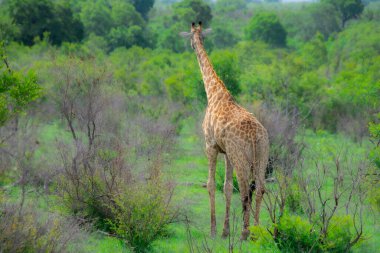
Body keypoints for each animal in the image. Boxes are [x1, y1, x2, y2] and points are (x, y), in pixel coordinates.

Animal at [181, 21, 270, 239]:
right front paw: (225, 231)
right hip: (262, 155)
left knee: (246, 190)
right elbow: (227, 187)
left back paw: (245, 233)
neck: (214, 94)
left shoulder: (210, 146)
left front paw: (213, 230)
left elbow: (211, 184)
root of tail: (255, 137)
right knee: (260, 188)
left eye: (193, 38)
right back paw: (256, 232)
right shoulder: (226, 152)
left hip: (242, 158)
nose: (194, 46)